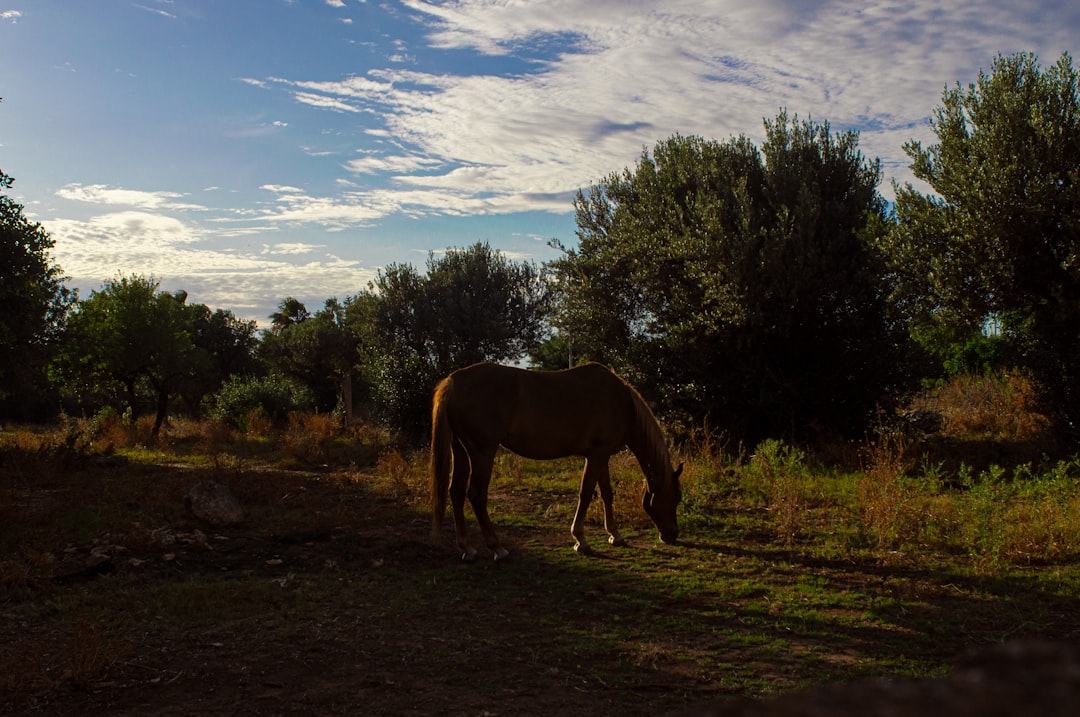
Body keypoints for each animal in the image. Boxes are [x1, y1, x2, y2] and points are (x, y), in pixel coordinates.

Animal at [429, 360, 682, 557]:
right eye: (676, 497)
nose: (672, 535)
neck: (622, 403)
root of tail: (453, 381)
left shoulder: (602, 456)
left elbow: (606, 494)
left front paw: (615, 535)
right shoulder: (596, 455)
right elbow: (586, 493)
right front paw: (580, 540)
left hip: (461, 450)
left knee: (456, 492)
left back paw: (467, 547)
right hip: (483, 452)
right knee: (476, 495)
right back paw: (496, 547)